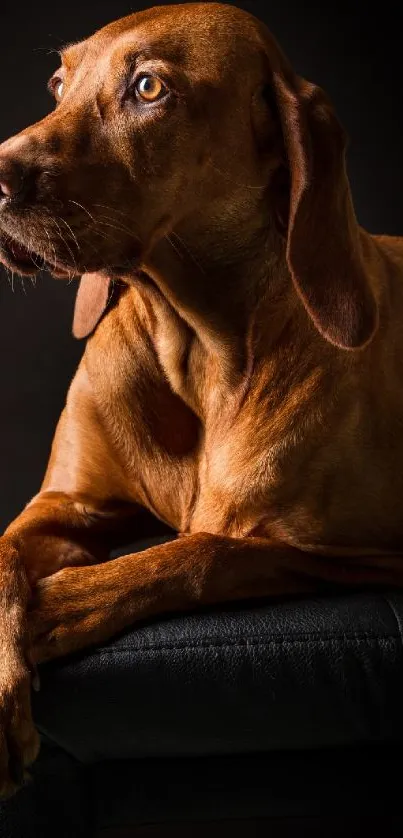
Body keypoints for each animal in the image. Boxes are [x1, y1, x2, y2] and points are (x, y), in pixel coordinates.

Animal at [0, 0, 403, 800]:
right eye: (59, 83)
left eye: (149, 87)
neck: (198, 347)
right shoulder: (64, 504)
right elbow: (2, 558)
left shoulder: (356, 551)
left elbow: (201, 552)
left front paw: (57, 606)